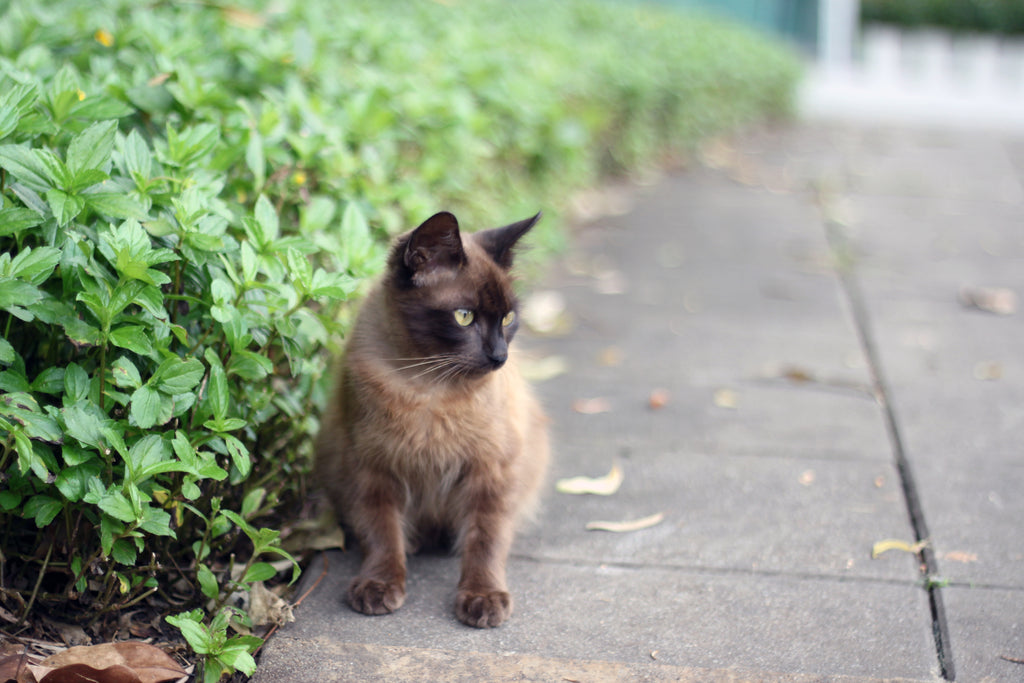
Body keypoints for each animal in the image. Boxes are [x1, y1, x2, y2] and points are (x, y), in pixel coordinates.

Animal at [313, 209, 548, 630]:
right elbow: (381, 534)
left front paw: (483, 598)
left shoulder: (491, 472)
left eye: (507, 319)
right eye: (464, 317)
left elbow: (485, 540)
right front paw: (379, 586)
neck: (429, 390)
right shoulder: (371, 471)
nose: (499, 356)